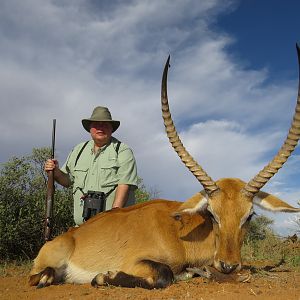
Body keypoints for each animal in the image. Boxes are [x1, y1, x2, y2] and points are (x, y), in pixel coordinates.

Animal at [28, 44, 300, 288]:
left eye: (250, 215)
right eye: (212, 213)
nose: (228, 265)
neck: (182, 232)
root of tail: (69, 235)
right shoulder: (139, 262)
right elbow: (164, 275)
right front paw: (104, 276)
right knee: (38, 277)